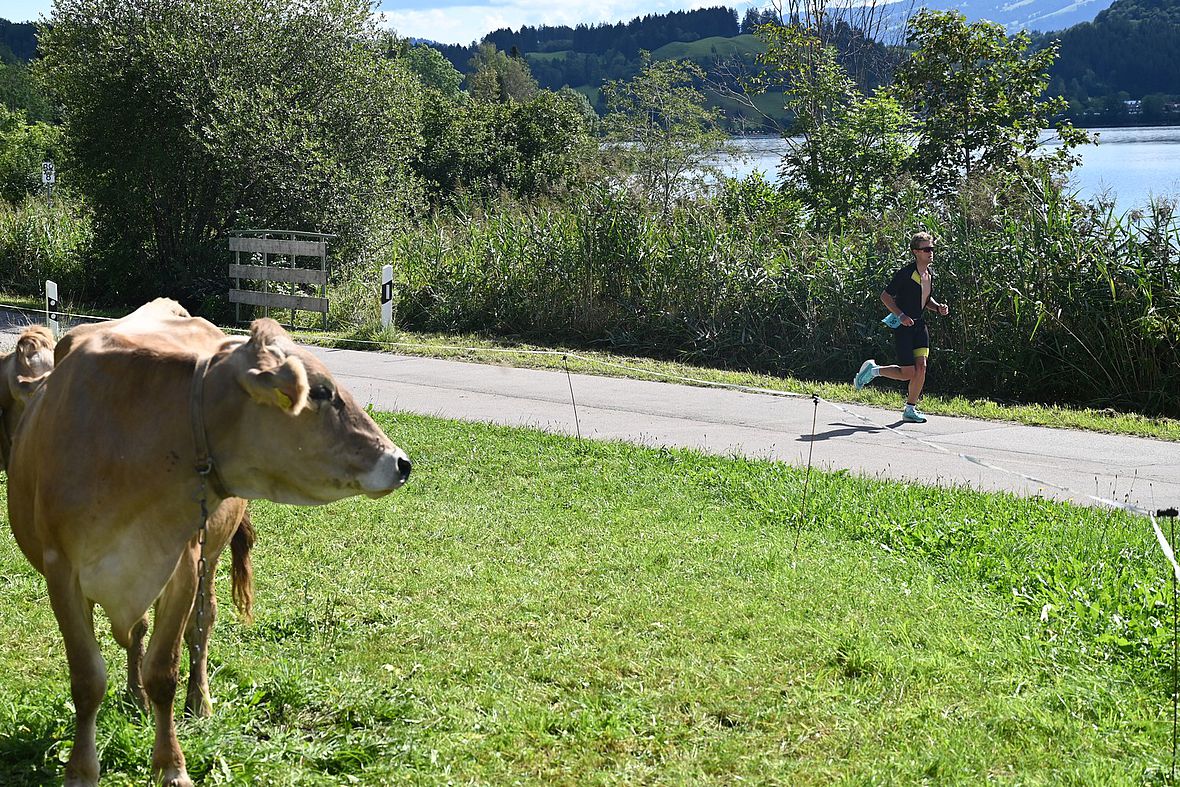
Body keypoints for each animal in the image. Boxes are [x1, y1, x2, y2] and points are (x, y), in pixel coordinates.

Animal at [8, 311, 410, 783]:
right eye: (323, 392)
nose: (401, 462)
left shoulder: (182, 565)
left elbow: (164, 670)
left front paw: (170, 765)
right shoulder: (62, 572)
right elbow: (88, 679)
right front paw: (82, 769)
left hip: (209, 559)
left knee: (201, 627)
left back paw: (197, 700)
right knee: (137, 632)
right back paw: (135, 697)